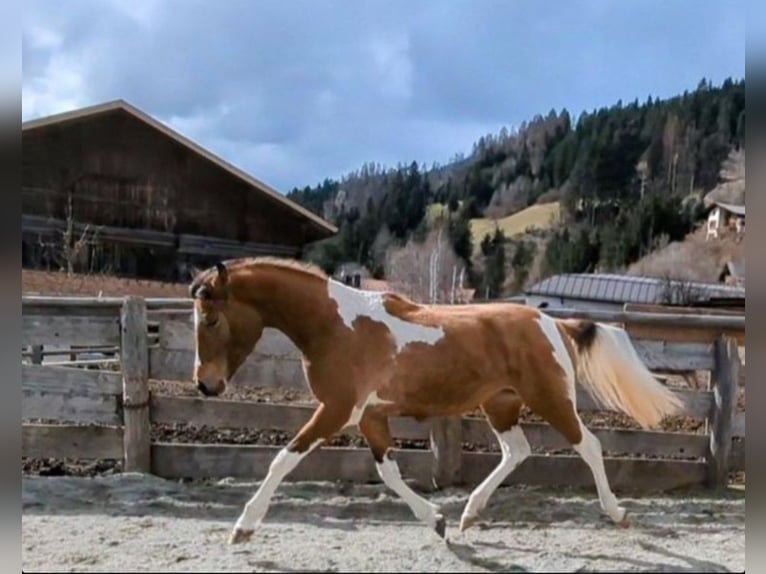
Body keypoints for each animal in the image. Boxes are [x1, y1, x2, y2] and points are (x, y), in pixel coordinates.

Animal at [188, 256, 684, 545]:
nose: (205, 386)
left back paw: (617, 513)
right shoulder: (369, 416)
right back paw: (468, 514)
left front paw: (243, 528)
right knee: (517, 450)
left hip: (550, 399)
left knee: (589, 446)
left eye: (210, 319)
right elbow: (388, 472)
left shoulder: (337, 410)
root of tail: (553, 322)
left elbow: (283, 460)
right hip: (500, 404)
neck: (336, 325)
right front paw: (437, 521)